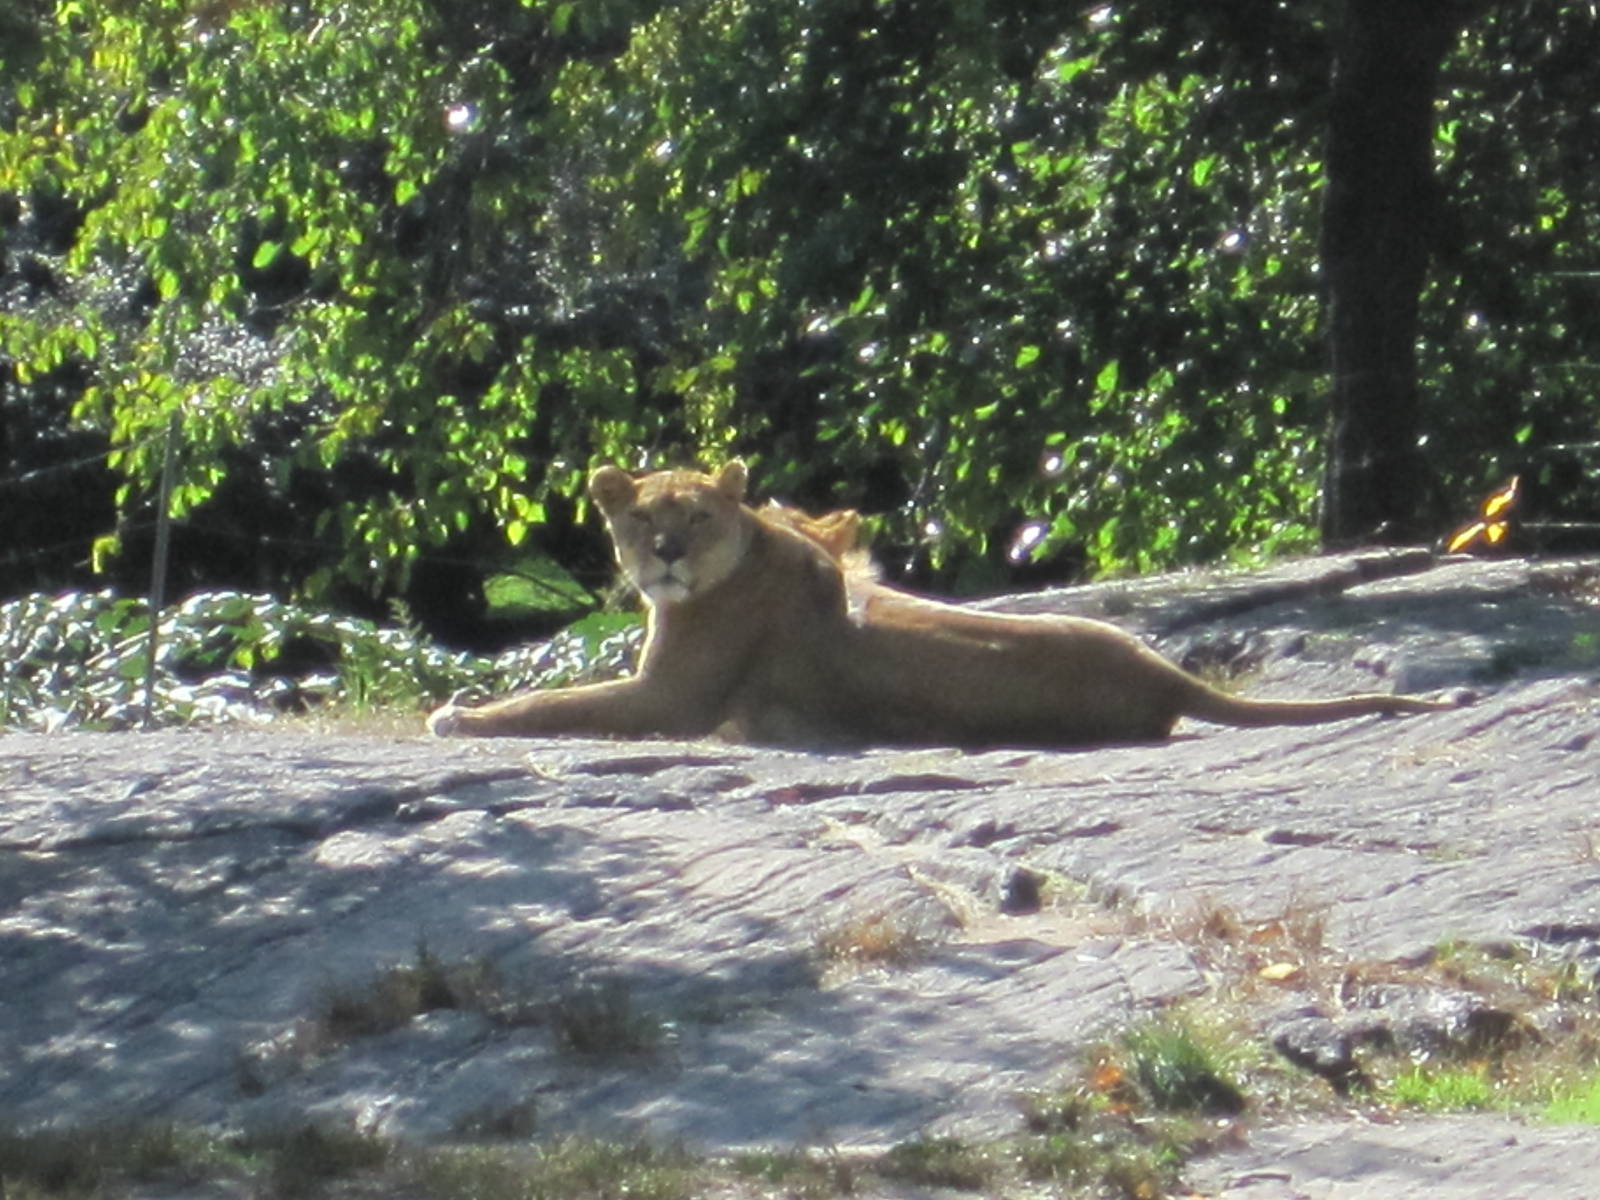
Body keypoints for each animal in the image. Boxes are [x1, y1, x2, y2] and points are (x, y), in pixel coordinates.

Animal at [427, 462, 1451, 749]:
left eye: (696, 517)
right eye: (643, 519)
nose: (667, 556)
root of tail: (1161, 670)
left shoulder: (670, 701)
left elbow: (552, 705)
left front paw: (461, 715)